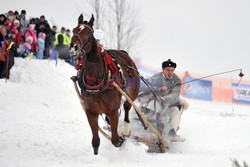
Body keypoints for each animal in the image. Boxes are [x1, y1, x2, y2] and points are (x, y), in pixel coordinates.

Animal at [70, 13, 141, 155]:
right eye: (74, 30)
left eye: (88, 33)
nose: (73, 47)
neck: (96, 79)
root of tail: (124, 53)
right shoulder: (91, 111)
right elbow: (95, 142)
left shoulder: (113, 109)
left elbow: (115, 140)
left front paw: (121, 139)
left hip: (132, 91)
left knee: (127, 105)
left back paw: (125, 130)